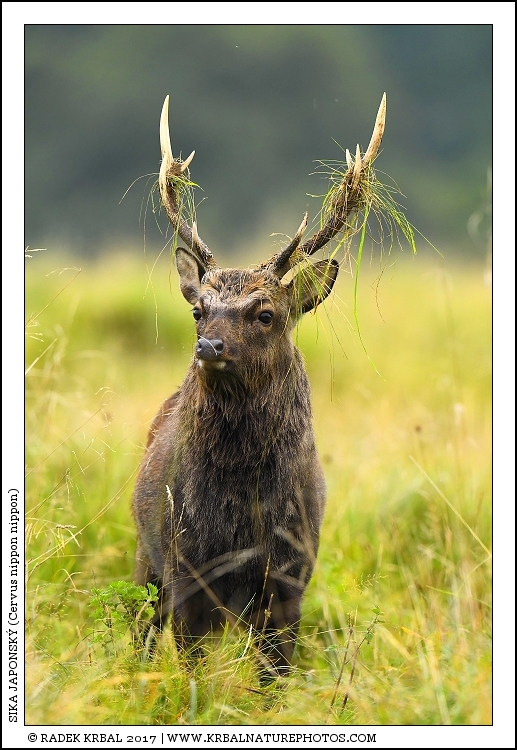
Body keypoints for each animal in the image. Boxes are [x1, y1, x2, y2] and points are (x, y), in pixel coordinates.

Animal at [132, 94, 386, 677]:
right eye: (199, 310)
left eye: (265, 313)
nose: (208, 347)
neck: (241, 514)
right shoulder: (186, 565)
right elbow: (193, 668)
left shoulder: (291, 575)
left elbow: (274, 677)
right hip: (144, 553)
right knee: (137, 626)